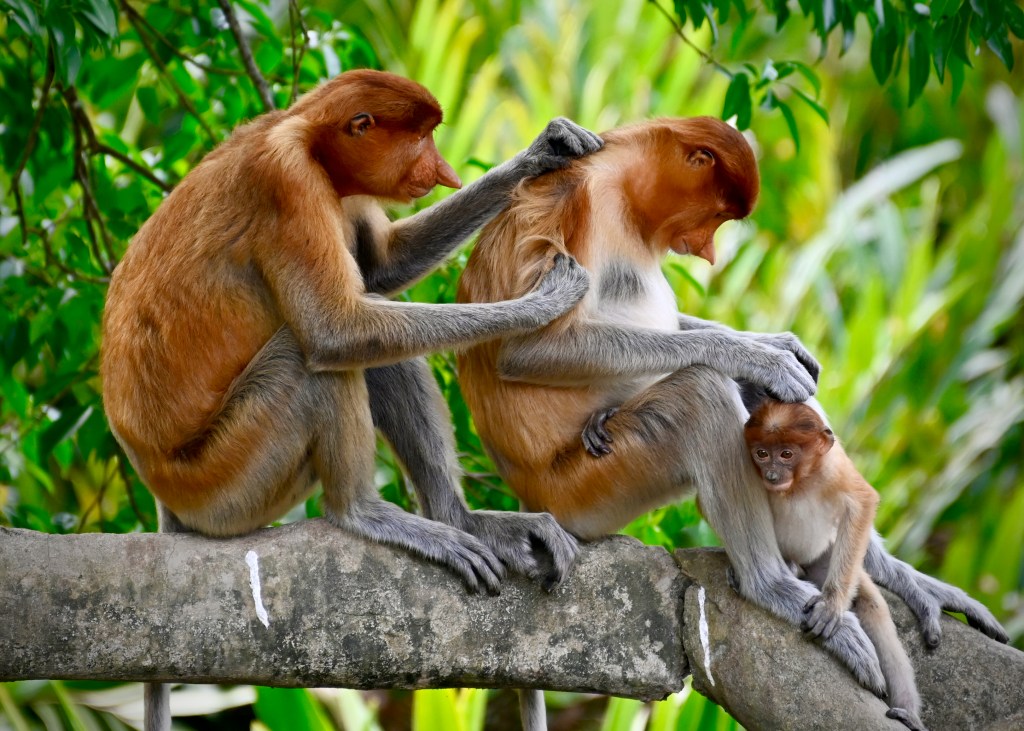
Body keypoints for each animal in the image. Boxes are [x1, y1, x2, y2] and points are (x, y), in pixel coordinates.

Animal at [100, 69, 603, 731]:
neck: (308, 139)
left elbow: (384, 267)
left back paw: (461, 520)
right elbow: (336, 328)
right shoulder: (286, 183)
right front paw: (543, 303)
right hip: (227, 482)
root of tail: (157, 482)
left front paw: (545, 151)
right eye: (419, 137)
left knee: (374, 341)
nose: (439, 170)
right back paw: (363, 513)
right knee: (316, 359)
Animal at [744, 399, 927, 730]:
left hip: (826, 556)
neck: (797, 485)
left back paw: (907, 714)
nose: (773, 475)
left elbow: (862, 501)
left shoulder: (832, 468)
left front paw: (830, 607)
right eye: (762, 453)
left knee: (871, 604)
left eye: (786, 454)